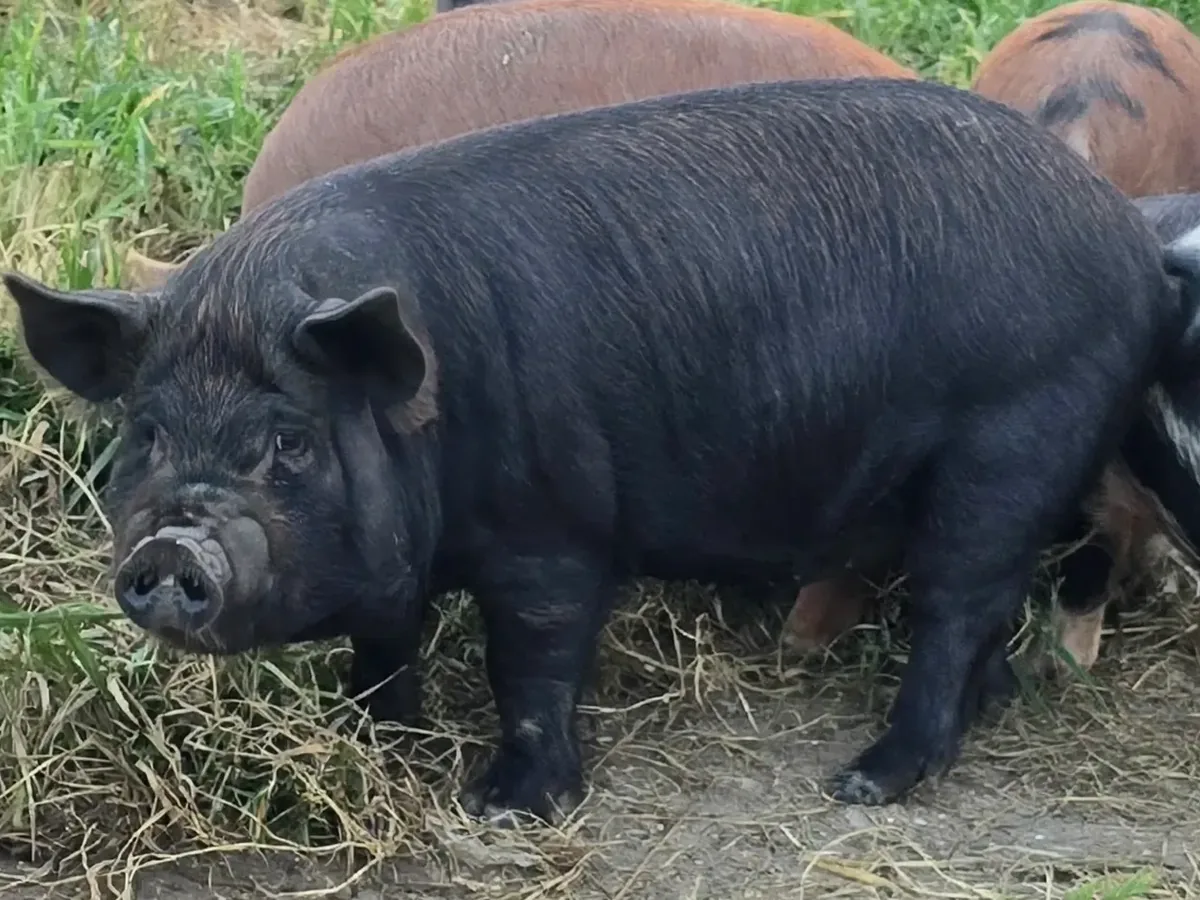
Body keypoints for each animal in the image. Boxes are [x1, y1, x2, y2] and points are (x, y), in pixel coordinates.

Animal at [10, 77, 1200, 822]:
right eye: (147, 433)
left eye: (287, 441)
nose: (172, 547)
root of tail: (1129, 239)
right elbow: (385, 644)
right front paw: (383, 742)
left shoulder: (554, 530)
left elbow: (532, 659)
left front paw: (501, 809)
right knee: (984, 608)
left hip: (1015, 435)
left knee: (957, 602)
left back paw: (862, 783)